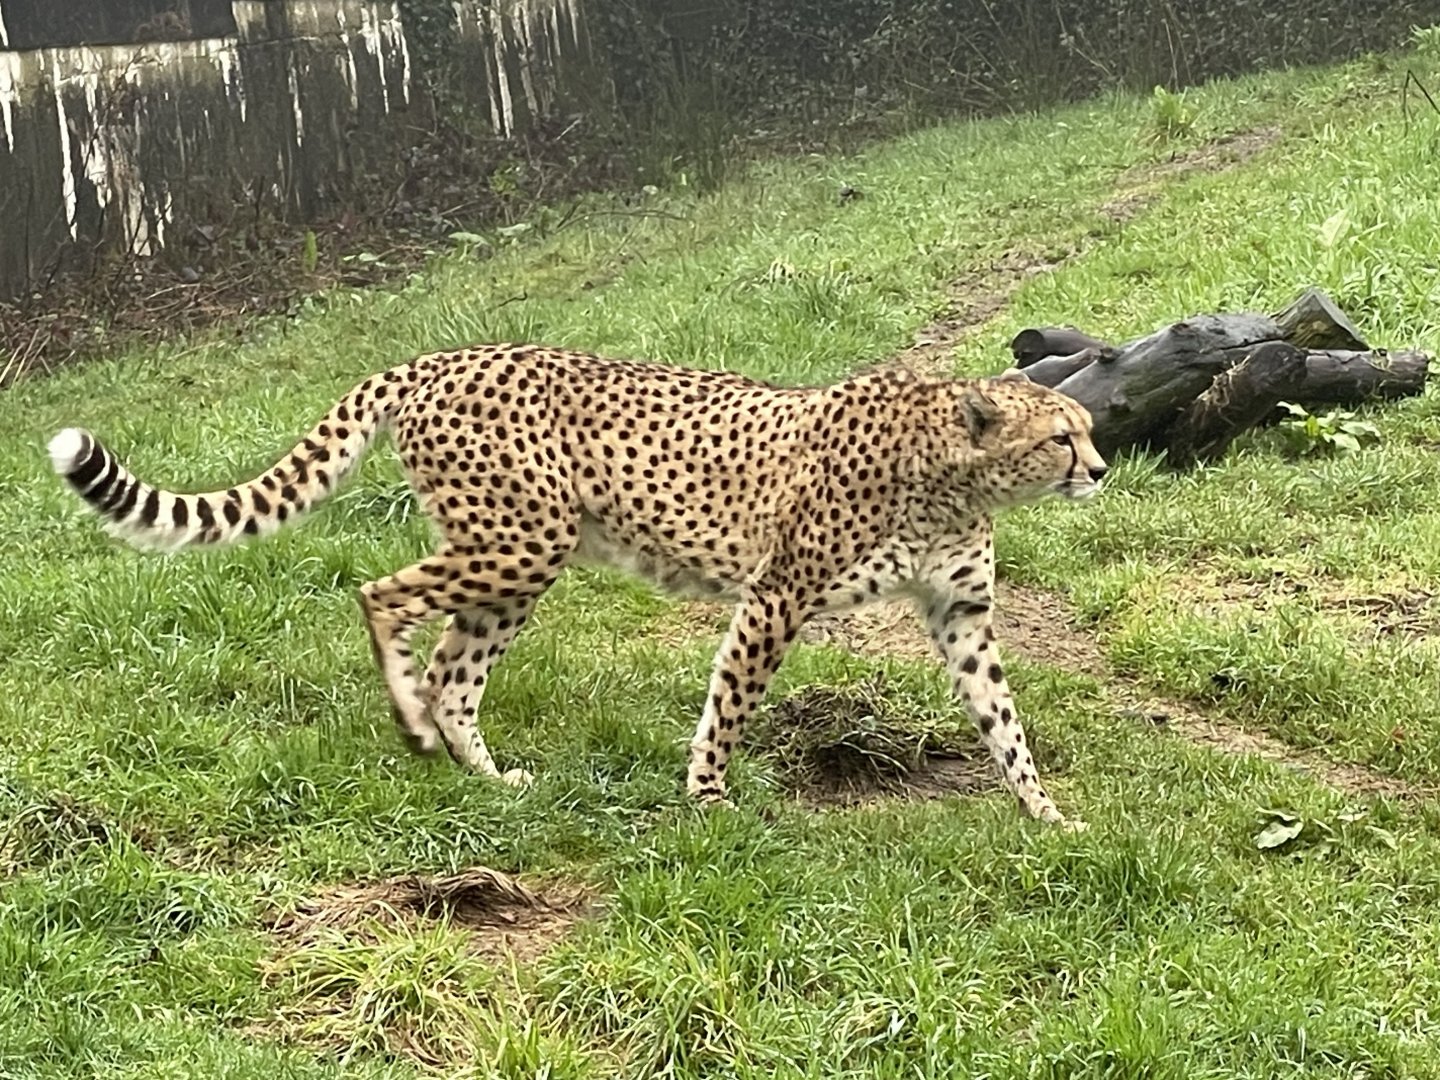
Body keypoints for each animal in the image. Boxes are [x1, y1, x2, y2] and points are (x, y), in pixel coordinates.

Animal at [47, 344, 1108, 826]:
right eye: (1064, 437)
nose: (1100, 471)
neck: (951, 471)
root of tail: (438, 355)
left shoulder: (960, 612)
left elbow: (1004, 721)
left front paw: (1046, 814)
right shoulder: (776, 597)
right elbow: (729, 704)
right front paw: (708, 797)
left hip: (515, 562)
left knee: (454, 668)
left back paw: (482, 773)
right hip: (523, 541)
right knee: (382, 595)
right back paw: (411, 725)